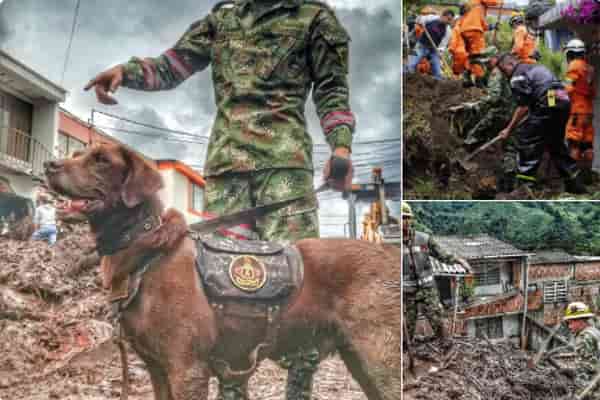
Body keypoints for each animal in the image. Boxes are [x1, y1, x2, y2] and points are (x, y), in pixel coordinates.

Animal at [44, 144, 400, 400]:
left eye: (101, 160)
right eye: (76, 154)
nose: (50, 165)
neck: (144, 251)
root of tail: (390, 252)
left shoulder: (188, 370)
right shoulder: (158, 370)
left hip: (380, 359)